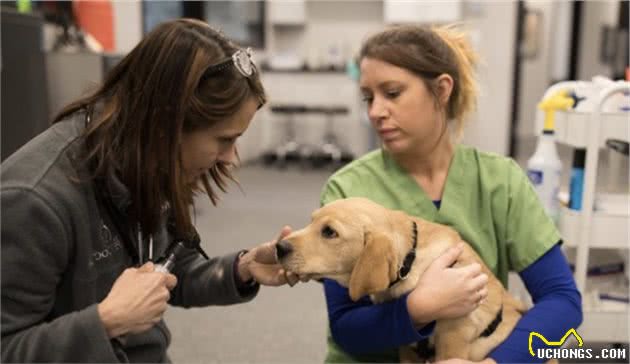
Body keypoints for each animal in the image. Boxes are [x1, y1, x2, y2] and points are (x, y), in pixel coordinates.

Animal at [276, 198, 528, 360]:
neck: (411, 262)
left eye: (329, 232)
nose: (279, 247)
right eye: (311, 221)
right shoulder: (407, 347)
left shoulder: (454, 336)